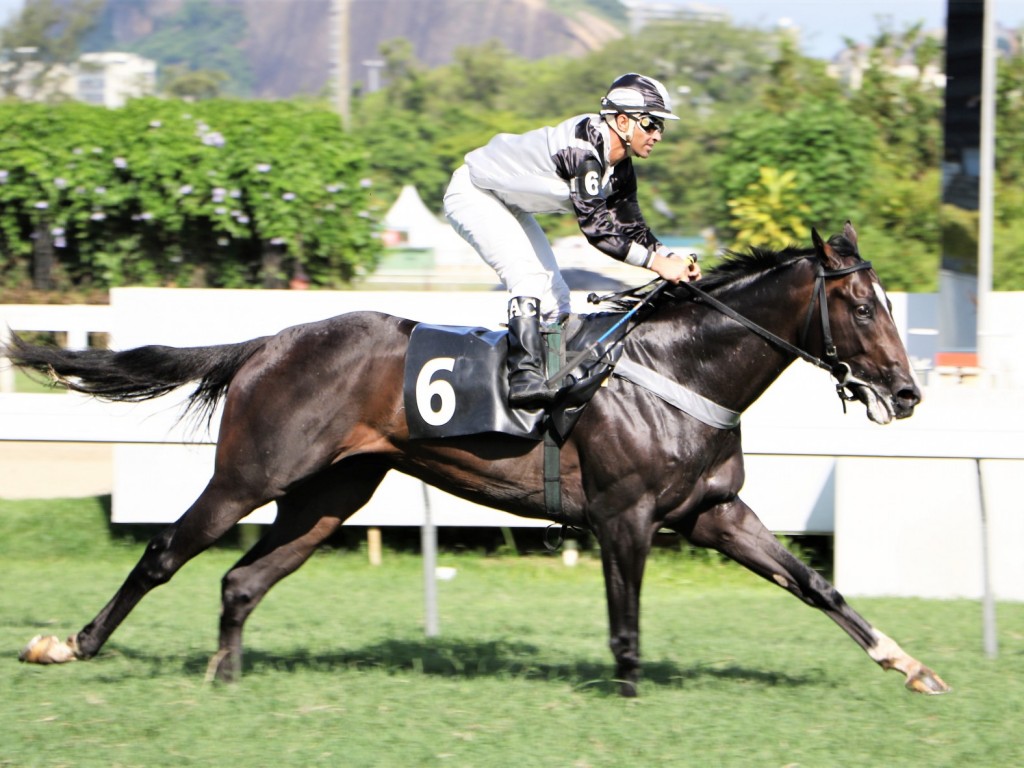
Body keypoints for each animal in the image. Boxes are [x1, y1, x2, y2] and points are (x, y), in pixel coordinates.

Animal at [9, 224, 950, 696]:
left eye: (887, 302)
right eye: (863, 306)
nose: (907, 394)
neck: (683, 369)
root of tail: (269, 341)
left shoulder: (712, 513)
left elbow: (817, 585)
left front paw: (910, 665)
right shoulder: (625, 516)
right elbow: (626, 629)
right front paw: (629, 701)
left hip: (331, 491)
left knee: (242, 580)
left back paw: (224, 675)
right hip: (250, 473)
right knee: (164, 551)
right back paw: (68, 646)